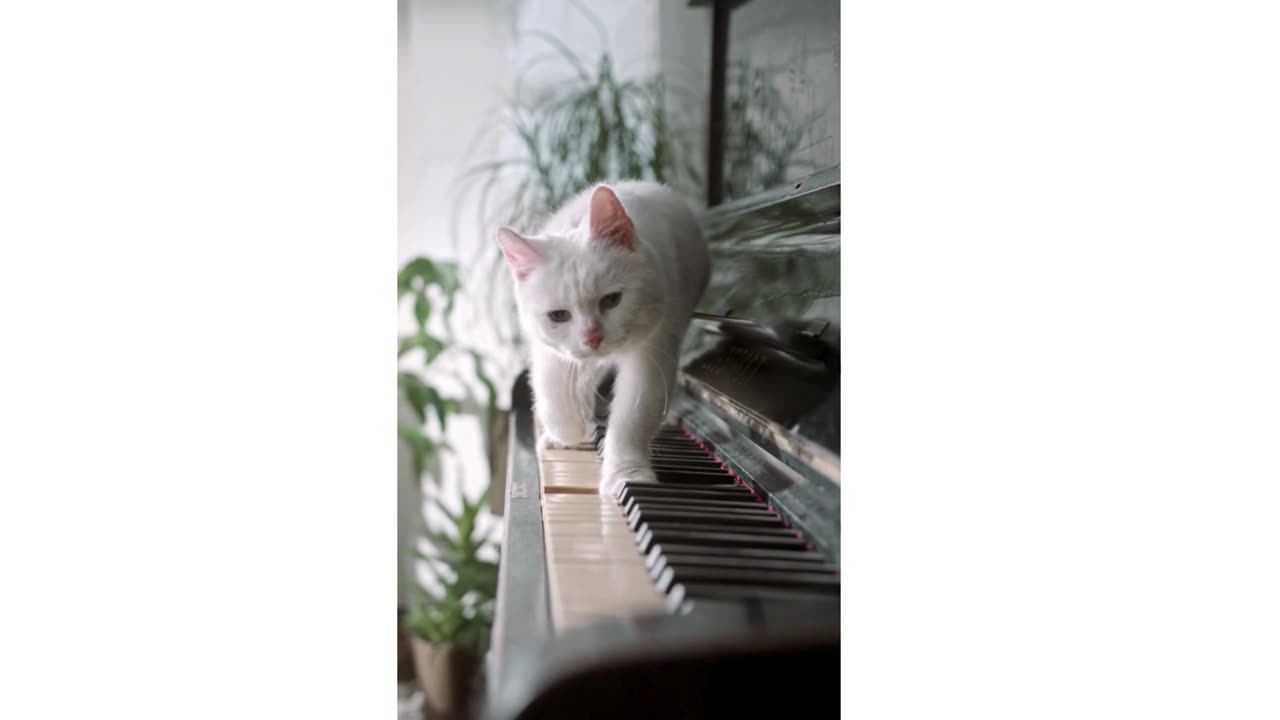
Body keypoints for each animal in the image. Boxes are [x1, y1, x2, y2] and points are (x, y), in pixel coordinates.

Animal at [494, 181, 711, 489]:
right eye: (558, 316)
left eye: (612, 300)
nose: (593, 338)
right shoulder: (550, 353)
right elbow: (554, 399)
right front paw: (568, 434)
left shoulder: (654, 352)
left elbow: (632, 419)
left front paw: (626, 475)